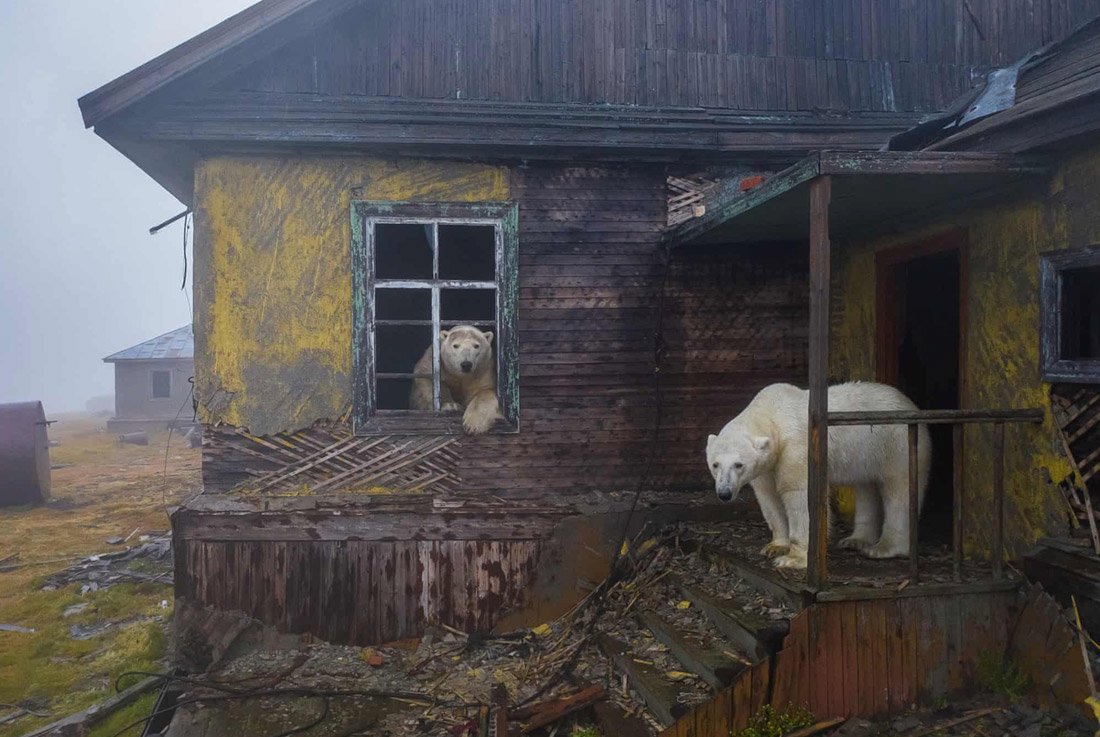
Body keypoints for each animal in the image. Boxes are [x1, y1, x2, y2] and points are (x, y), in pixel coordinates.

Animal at [704, 385, 928, 576]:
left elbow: (800, 496)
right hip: (868, 455)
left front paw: (793, 559)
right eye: (715, 464)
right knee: (866, 488)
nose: (724, 493)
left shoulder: (796, 449)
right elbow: (769, 498)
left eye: (738, 464)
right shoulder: (767, 466)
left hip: (896, 444)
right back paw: (856, 540)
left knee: (899, 491)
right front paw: (775, 546)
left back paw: (884, 548)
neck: (772, 413)